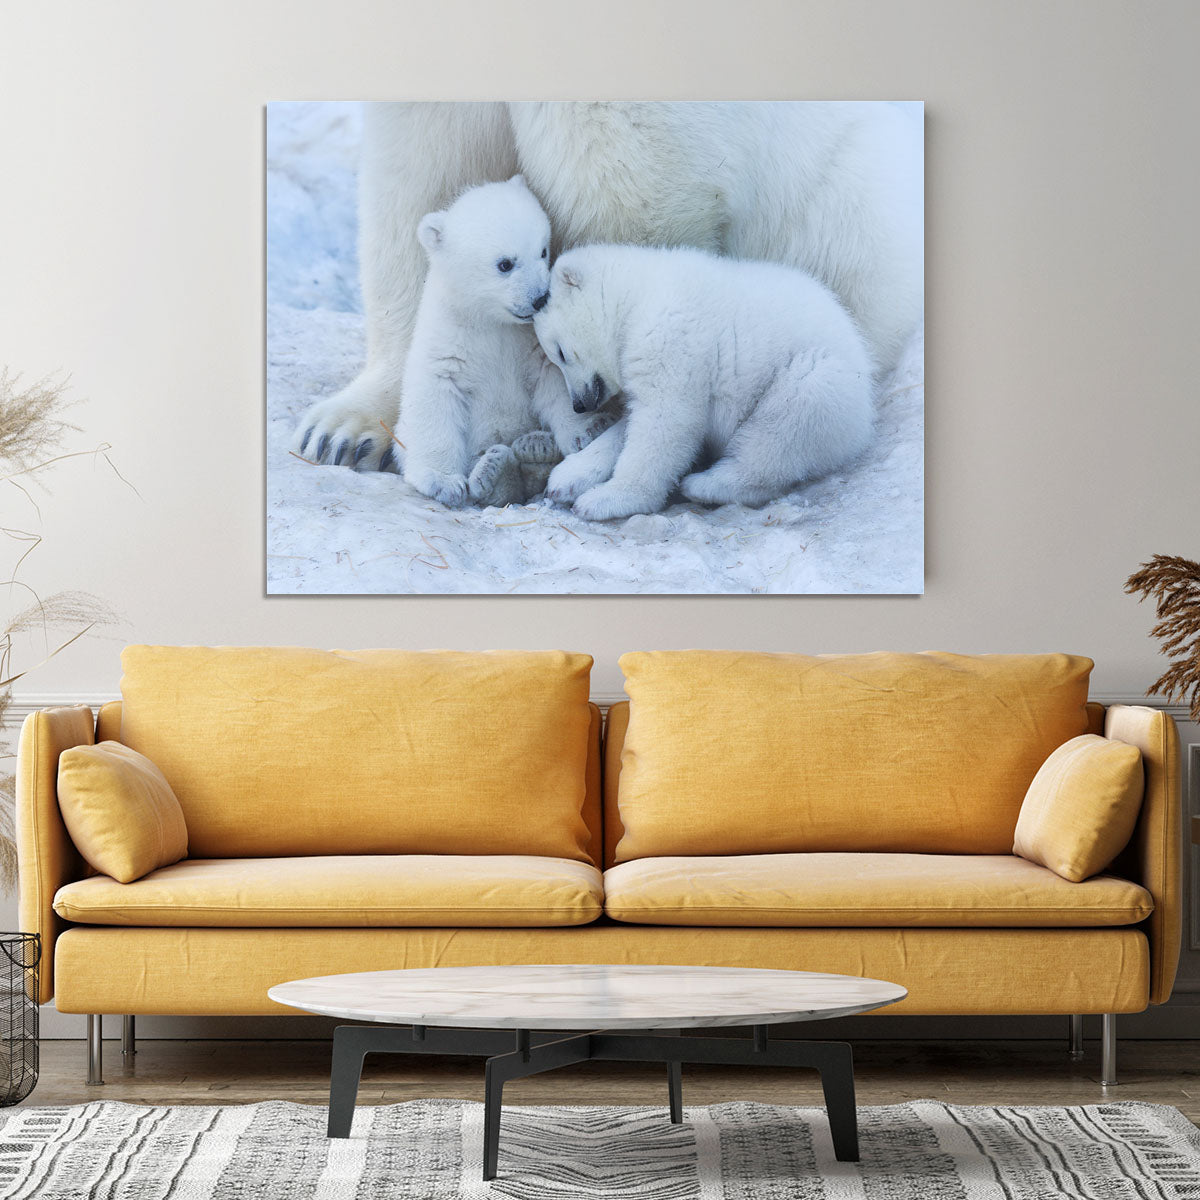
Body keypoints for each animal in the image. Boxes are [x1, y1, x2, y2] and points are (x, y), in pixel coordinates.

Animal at [392, 175, 614, 508]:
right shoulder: (446, 343)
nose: (540, 298)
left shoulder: (530, 344)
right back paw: (495, 472)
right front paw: (442, 482)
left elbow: (554, 381)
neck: (491, 322)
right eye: (505, 264)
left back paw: (536, 448)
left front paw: (587, 430)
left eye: (543, 251)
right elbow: (434, 398)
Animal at [532, 243, 876, 522]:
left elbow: (664, 423)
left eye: (560, 353)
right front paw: (568, 475)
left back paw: (705, 483)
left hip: (818, 378)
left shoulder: (669, 339)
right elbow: (630, 423)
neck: (638, 295)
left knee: (780, 430)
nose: (579, 404)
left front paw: (604, 499)